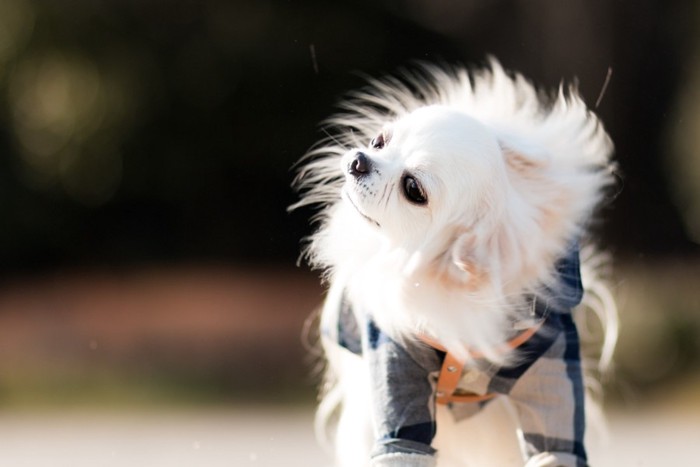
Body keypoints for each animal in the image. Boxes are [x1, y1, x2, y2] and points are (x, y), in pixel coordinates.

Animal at [292, 60, 616, 466]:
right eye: (380, 141)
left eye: (413, 189)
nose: (358, 160)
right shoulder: (395, 363)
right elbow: (401, 445)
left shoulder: (553, 369)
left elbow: (555, 447)